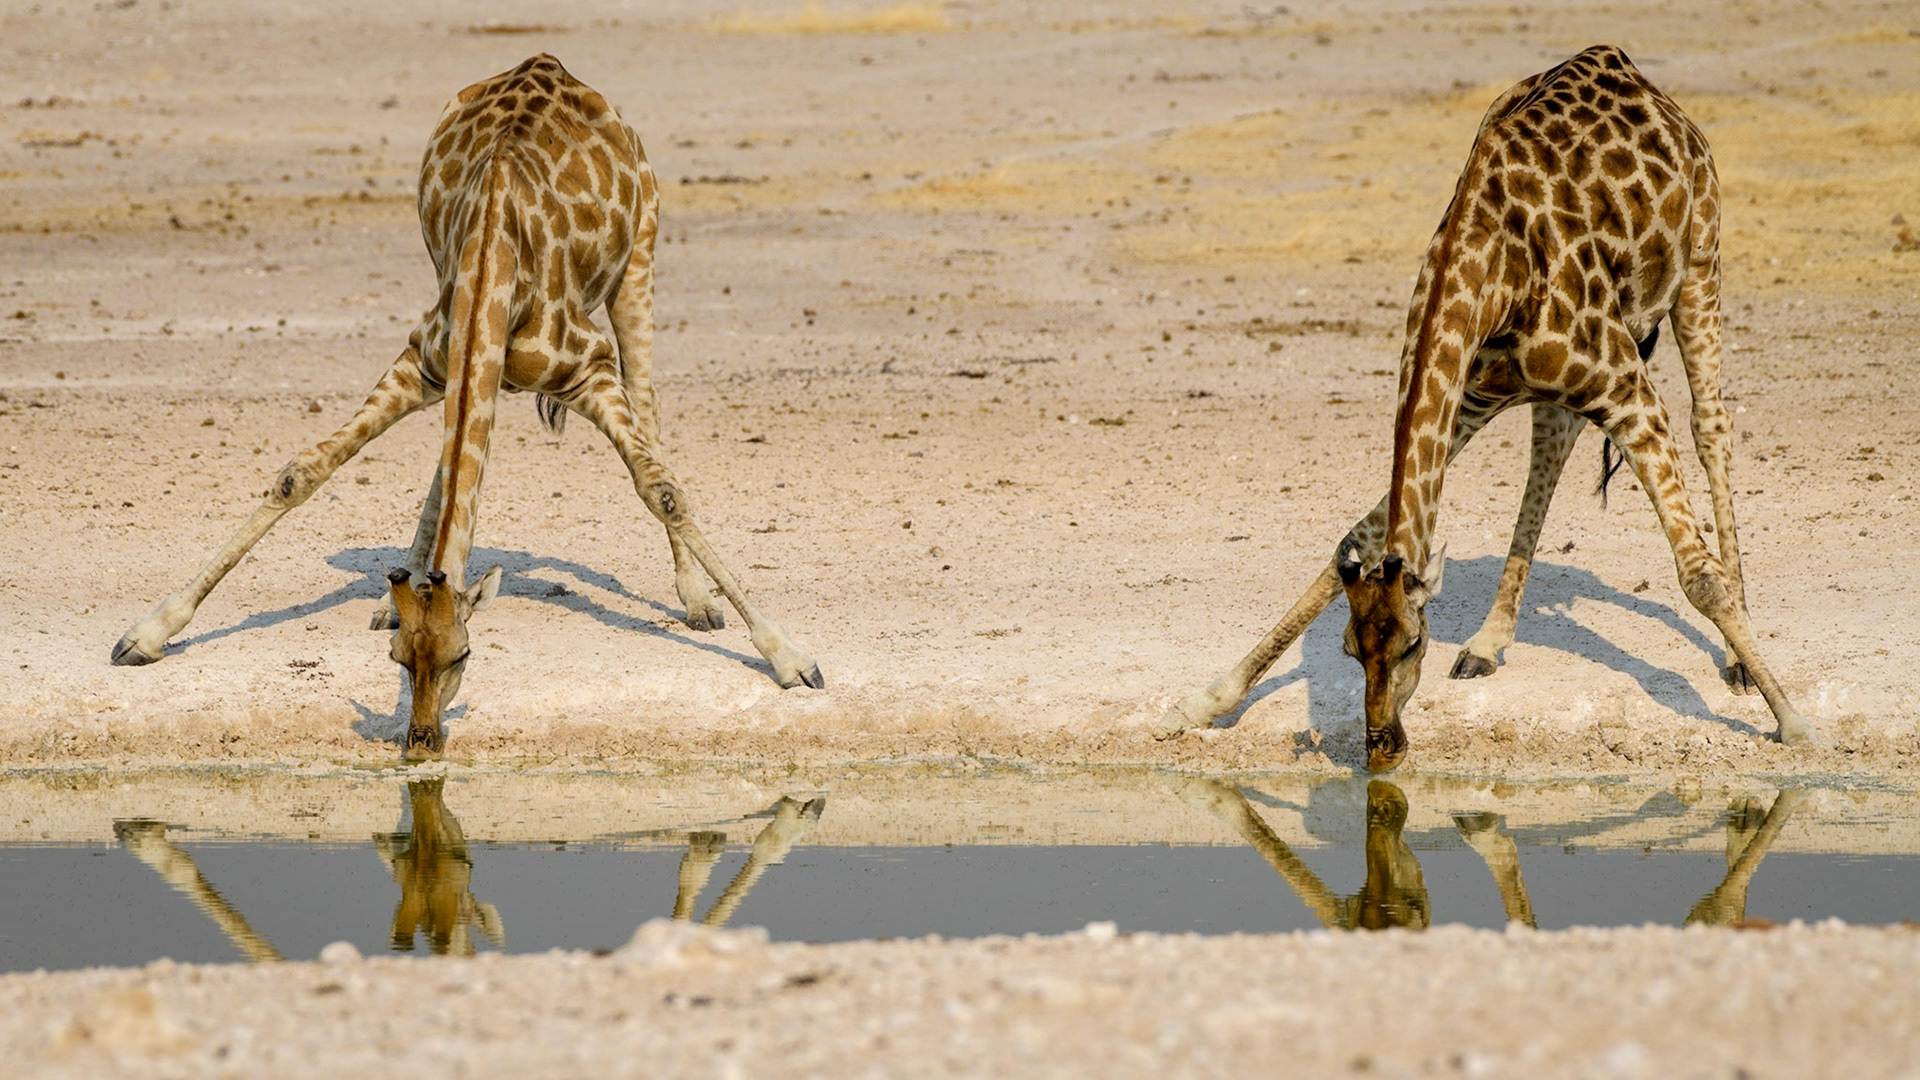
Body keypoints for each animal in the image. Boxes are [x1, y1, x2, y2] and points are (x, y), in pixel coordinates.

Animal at [109, 55, 822, 755]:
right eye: (399, 660)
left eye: (464, 655)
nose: (422, 740)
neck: (494, 267)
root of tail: (551, 63)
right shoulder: (424, 361)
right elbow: (301, 473)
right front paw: (147, 633)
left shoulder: (590, 371)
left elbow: (662, 490)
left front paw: (791, 659)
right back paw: (400, 588)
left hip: (639, 260)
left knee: (649, 407)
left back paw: (697, 602)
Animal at [1157, 45, 1813, 769]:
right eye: (1350, 650)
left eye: (1414, 643)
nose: (1382, 751)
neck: (1487, 269)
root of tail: (1631, 70)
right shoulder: (1469, 397)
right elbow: (1353, 537)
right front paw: (1202, 702)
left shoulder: (1625, 388)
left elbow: (1700, 577)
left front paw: (1794, 724)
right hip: (1555, 381)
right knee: (1552, 445)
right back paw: (1489, 641)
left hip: (1701, 262)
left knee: (1711, 426)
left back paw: (1738, 657)